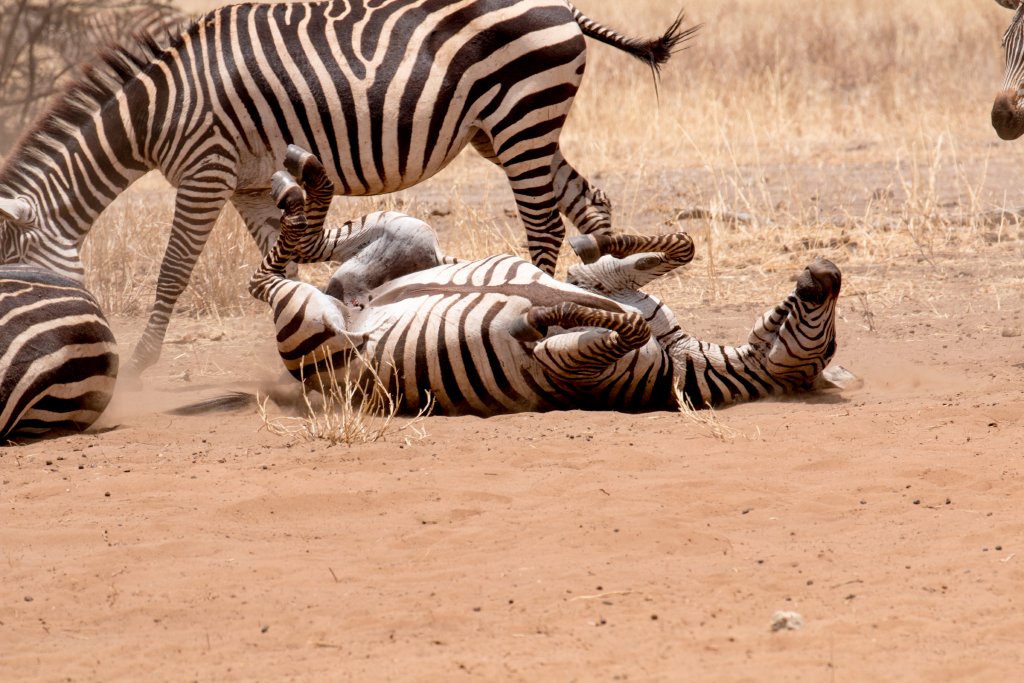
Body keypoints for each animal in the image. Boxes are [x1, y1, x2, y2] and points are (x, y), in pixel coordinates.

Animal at [0, 1, 698, 380]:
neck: (157, 113)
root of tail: (563, 8)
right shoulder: (249, 183)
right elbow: (297, 254)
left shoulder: (206, 172)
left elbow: (175, 269)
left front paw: (143, 363)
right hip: (501, 129)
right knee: (587, 199)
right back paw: (605, 266)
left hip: (520, 114)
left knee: (546, 222)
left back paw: (547, 290)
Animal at [246, 147, 845, 416]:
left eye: (829, 344)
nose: (828, 269)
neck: (686, 359)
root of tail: (350, 306)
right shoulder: (609, 290)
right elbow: (677, 246)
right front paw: (596, 242)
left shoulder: (571, 367)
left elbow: (618, 324)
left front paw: (536, 314)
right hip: (411, 234)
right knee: (298, 250)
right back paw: (301, 178)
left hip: (318, 327)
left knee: (270, 277)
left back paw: (298, 181)